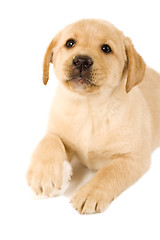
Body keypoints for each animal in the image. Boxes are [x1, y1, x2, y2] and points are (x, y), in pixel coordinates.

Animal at [26, 18, 160, 214]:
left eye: (106, 48)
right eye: (70, 43)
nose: (81, 61)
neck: (88, 108)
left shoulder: (132, 157)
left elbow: (109, 172)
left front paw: (91, 192)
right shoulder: (56, 132)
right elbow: (49, 141)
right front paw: (43, 175)